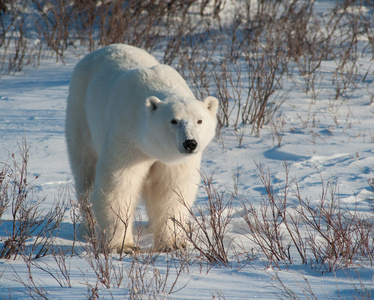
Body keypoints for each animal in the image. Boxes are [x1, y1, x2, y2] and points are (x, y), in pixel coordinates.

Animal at [65, 43, 216, 252]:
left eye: (199, 120)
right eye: (173, 121)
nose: (190, 143)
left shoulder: (175, 161)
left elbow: (172, 190)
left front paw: (172, 243)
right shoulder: (127, 139)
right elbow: (118, 186)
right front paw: (123, 246)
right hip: (81, 115)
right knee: (85, 173)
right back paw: (90, 228)